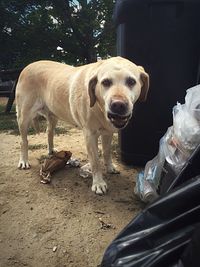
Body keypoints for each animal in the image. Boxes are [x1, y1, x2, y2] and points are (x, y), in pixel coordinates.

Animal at [16, 57, 148, 195]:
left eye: (131, 81)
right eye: (105, 82)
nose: (118, 105)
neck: (99, 107)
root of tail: (29, 65)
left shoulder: (108, 132)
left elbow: (107, 152)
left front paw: (110, 167)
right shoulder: (90, 136)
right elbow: (95, 162)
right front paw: (98, 183)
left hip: (53, 115)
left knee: (49, 132)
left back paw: (52, 150)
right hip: (24, 116)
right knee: (23, 141)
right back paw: (23, 161)